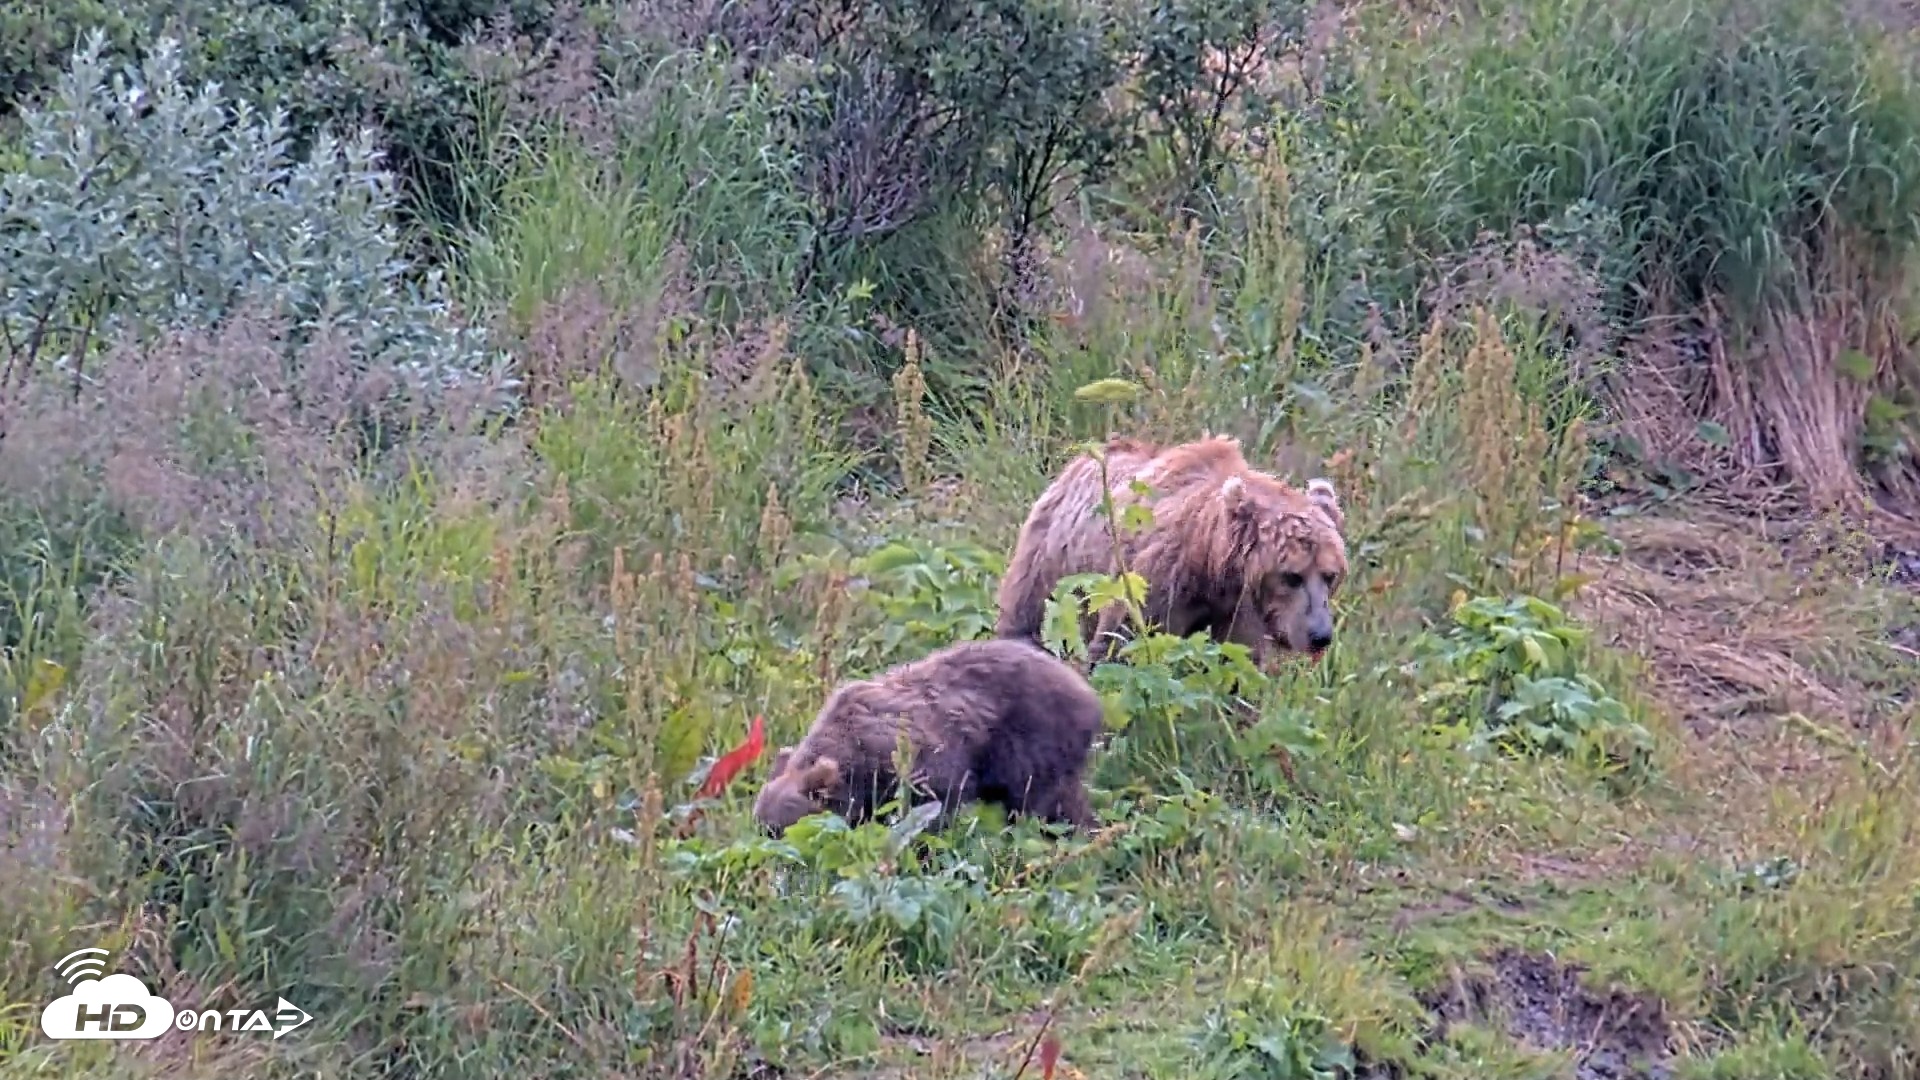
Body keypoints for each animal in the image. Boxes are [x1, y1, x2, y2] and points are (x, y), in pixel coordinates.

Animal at [751, 638, 1102, 837]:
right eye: (763, 829)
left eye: (780, 830)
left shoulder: (916, 762)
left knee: (1038, 804)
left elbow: (934, 808)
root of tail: (1086, 692)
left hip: (1032, 742)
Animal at [993, 434, 1349, 668]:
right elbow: (1120, 649)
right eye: (1292, 576)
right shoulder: (1154, 583)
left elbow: (1238, 665)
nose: (1320, 635)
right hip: (1053, 563)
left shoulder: (1238, 611)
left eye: (1329, 575)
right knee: (1027, 617)